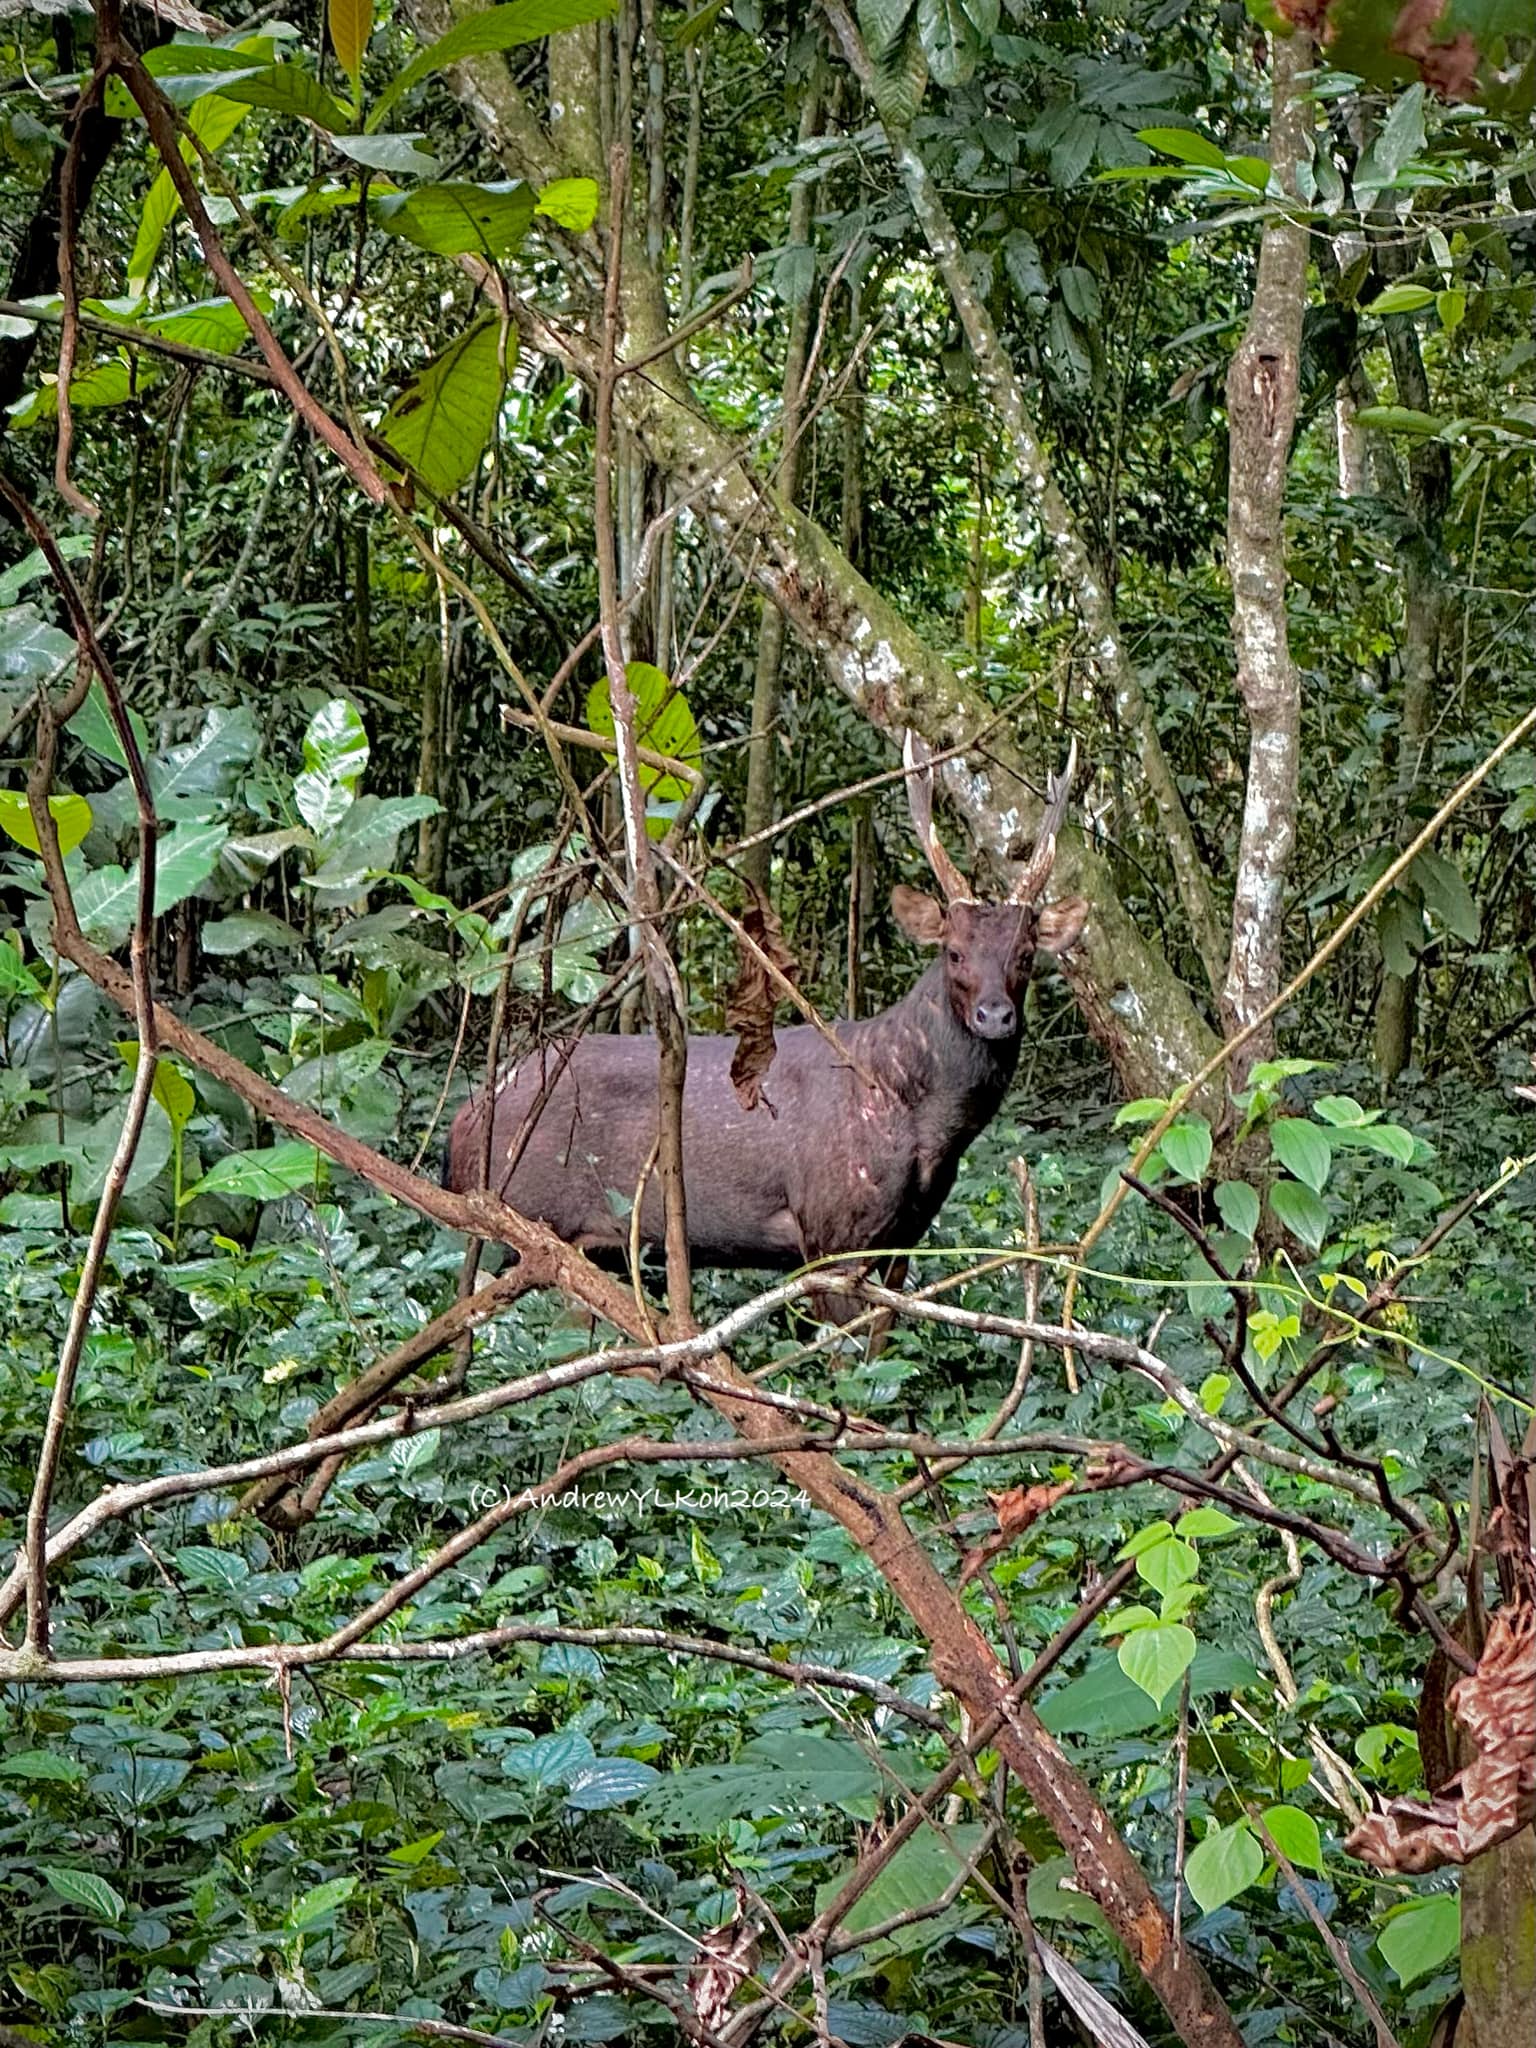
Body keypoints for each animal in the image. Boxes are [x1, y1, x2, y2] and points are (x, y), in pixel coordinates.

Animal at [448, 737, 1097, 1277]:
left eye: (1026, 955)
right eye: (955, 952)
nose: (995, 1015)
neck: (916, 1121)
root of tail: (466, 1119)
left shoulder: (902, 1242)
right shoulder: (831, 1228)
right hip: (524, 1215)